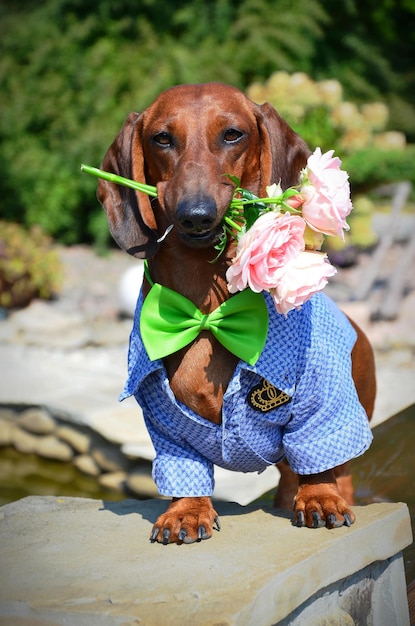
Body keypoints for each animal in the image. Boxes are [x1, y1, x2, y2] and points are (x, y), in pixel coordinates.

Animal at [97, 81, 376, 540]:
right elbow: (184, 469)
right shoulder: (163, 419)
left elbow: (319, 453)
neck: (208, 312)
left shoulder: (321, 402)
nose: (196, 215)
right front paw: (186, 511)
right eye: (162, 138)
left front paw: (320, 498)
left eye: (232, 134)